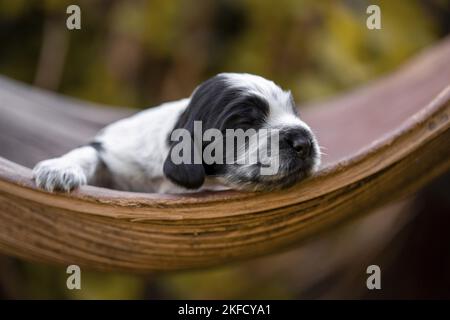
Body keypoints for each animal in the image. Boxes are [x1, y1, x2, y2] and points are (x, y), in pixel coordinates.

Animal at [33, 72, 322, 192]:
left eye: (294, 112)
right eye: (244, 124)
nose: (304, 142)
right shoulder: (115, 150)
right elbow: (89, 151)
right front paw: (58, 170)